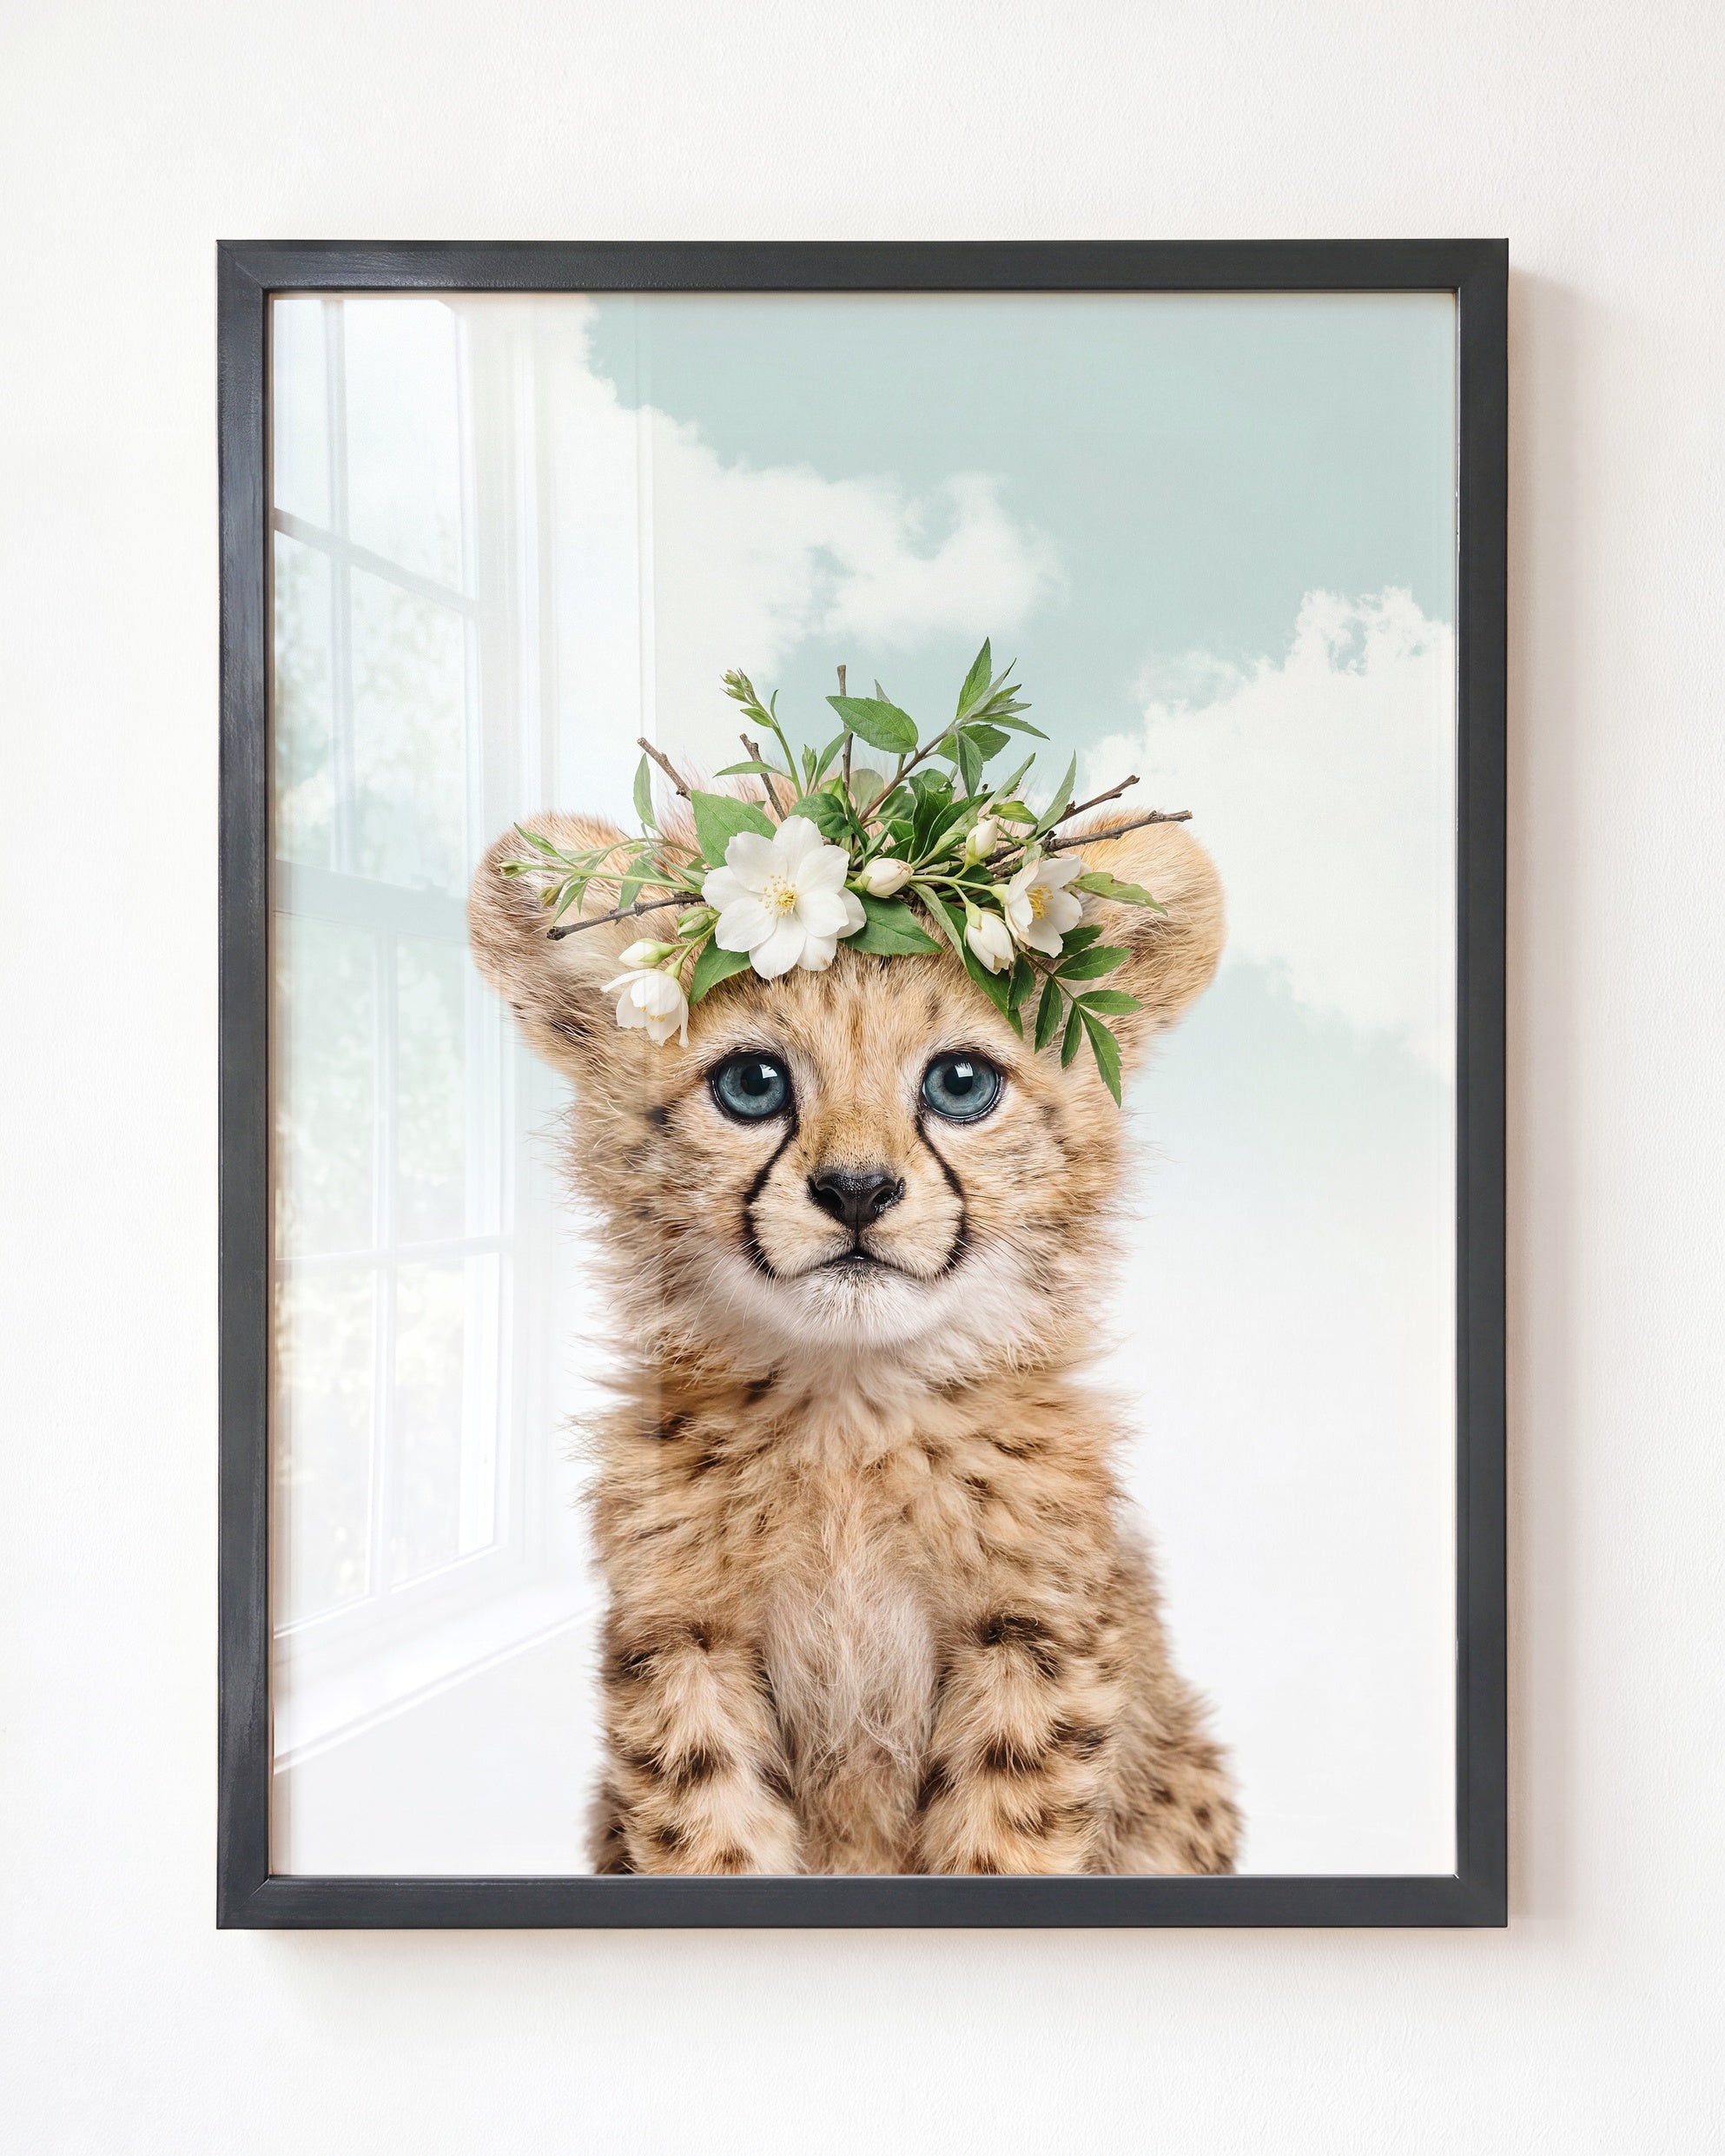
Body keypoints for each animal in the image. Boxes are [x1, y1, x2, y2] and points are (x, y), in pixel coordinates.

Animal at [469, 805, 1239, 1876]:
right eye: (753, 1084)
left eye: (961, 1082)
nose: (858, 1191)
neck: (850, 1412)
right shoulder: (685, 1639)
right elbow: (710, 1837)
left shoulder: (1033, 1640)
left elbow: (1003, 1846)